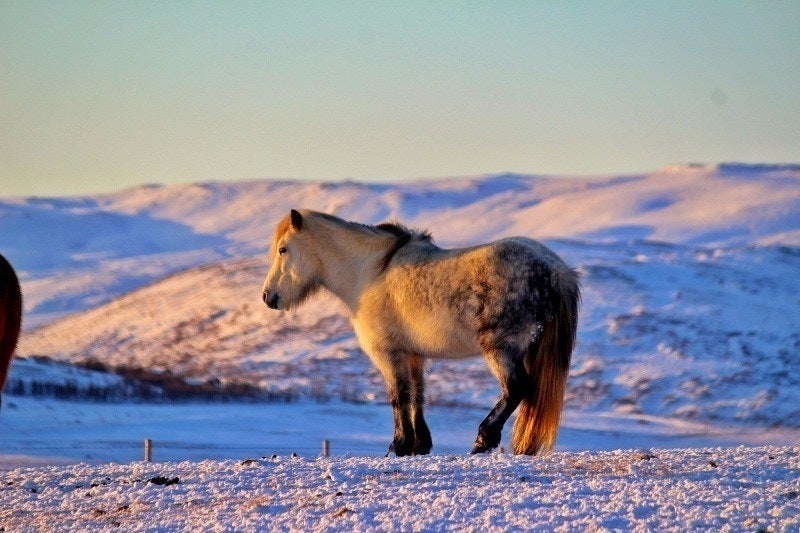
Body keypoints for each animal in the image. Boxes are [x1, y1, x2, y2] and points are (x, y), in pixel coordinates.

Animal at [262, 210, 580, 456]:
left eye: (283, 249)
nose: (268, 297)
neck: (368, 272)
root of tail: (556, 270)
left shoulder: (389, 353)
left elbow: (398, 395)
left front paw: (399, 446)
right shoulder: (412, 354)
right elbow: (417, 394)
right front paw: (419, 445)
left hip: (501, 349)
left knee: (516, 388)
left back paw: (483, 440)